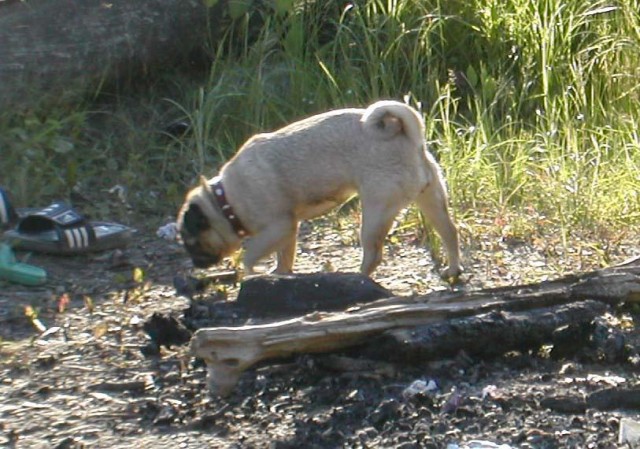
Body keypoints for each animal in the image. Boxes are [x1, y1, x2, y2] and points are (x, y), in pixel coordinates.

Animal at [178, 100, 462, 278]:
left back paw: (358, 278)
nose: (195, 262)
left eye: (193, 244)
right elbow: (285, 255)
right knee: (450, 233)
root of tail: (408, 136)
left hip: (376, 211)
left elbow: (250, 257)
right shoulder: (288, 231)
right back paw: (452, 270)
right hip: (431, 198)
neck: (225, 201)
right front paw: (280, 274)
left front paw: (252, 275)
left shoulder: (277, 226)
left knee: (373, 254)